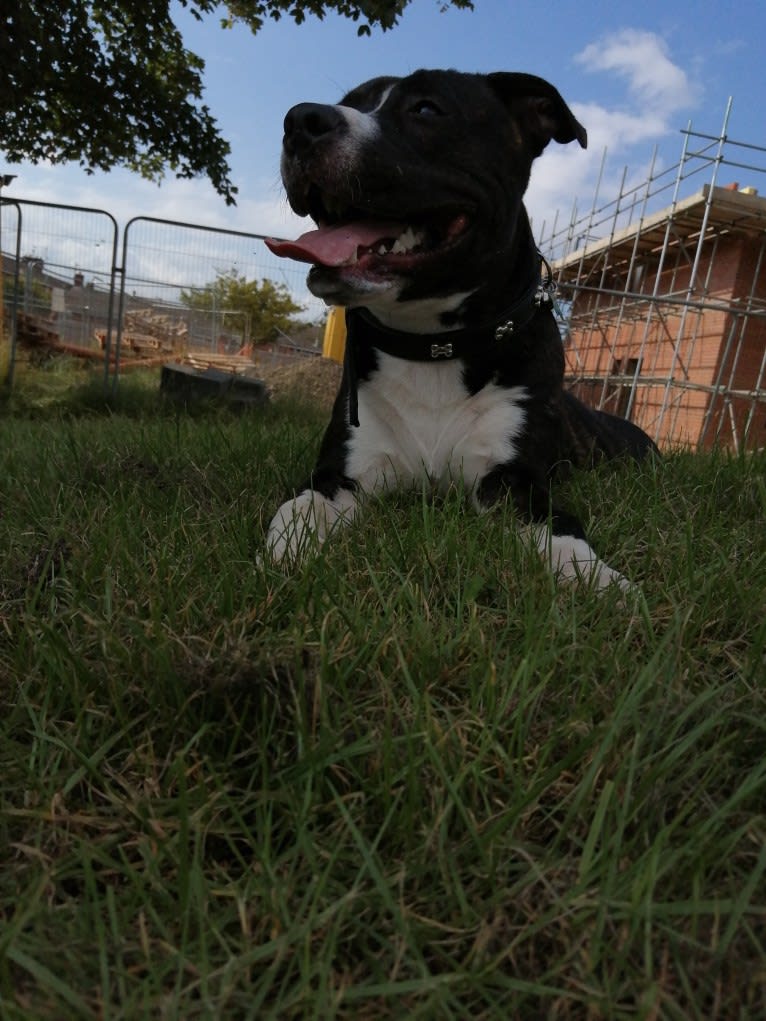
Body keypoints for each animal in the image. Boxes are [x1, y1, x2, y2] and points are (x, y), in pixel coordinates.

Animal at [265, 69, 661, 592]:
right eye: (349, 101)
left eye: (426, 109)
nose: (301, 120)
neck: (433, 346)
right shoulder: (341, 473)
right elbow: (299, 509)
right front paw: (287, 552)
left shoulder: (514, 483)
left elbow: (564, 535)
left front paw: (603, 585)